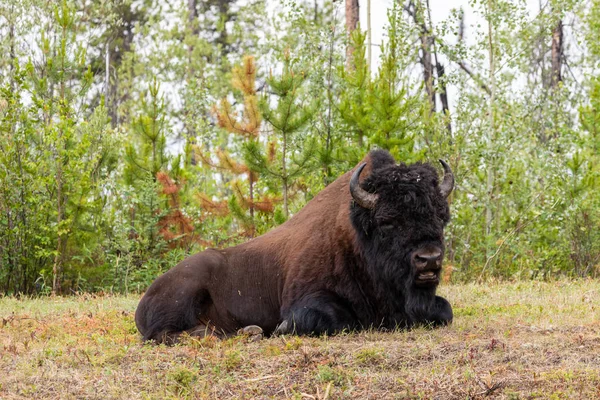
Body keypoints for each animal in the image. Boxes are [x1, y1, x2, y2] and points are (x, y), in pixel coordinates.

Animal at [135, 150, 454, 344]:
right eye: (387, 222)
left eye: (441, 216)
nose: (429, 259)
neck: (355, 237)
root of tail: (145, 297)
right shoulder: (304, 298)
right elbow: (334, 318)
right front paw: (283, 328)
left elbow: (445, 311)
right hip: (186, 291)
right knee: (167, 334)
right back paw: (241, 332)